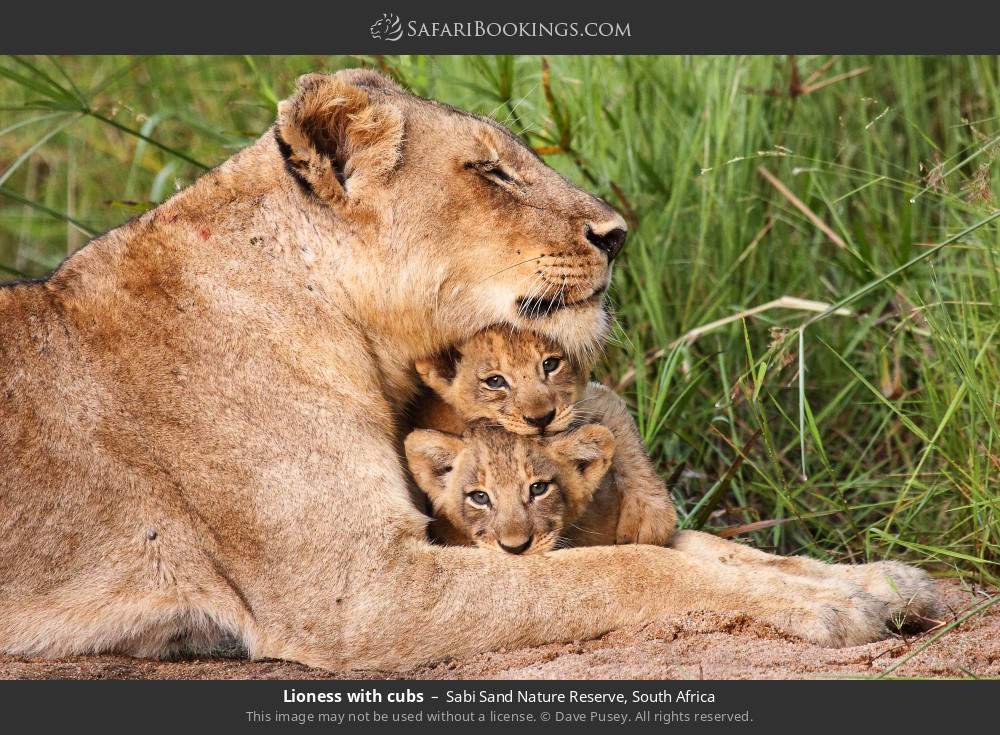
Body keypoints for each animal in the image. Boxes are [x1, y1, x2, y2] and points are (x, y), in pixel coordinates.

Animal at [410, 326, 676, 545]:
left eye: (550, 364)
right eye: (495, 381)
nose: (541, 419)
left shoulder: (585, 404)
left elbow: (616, 418)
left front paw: (650, 518)